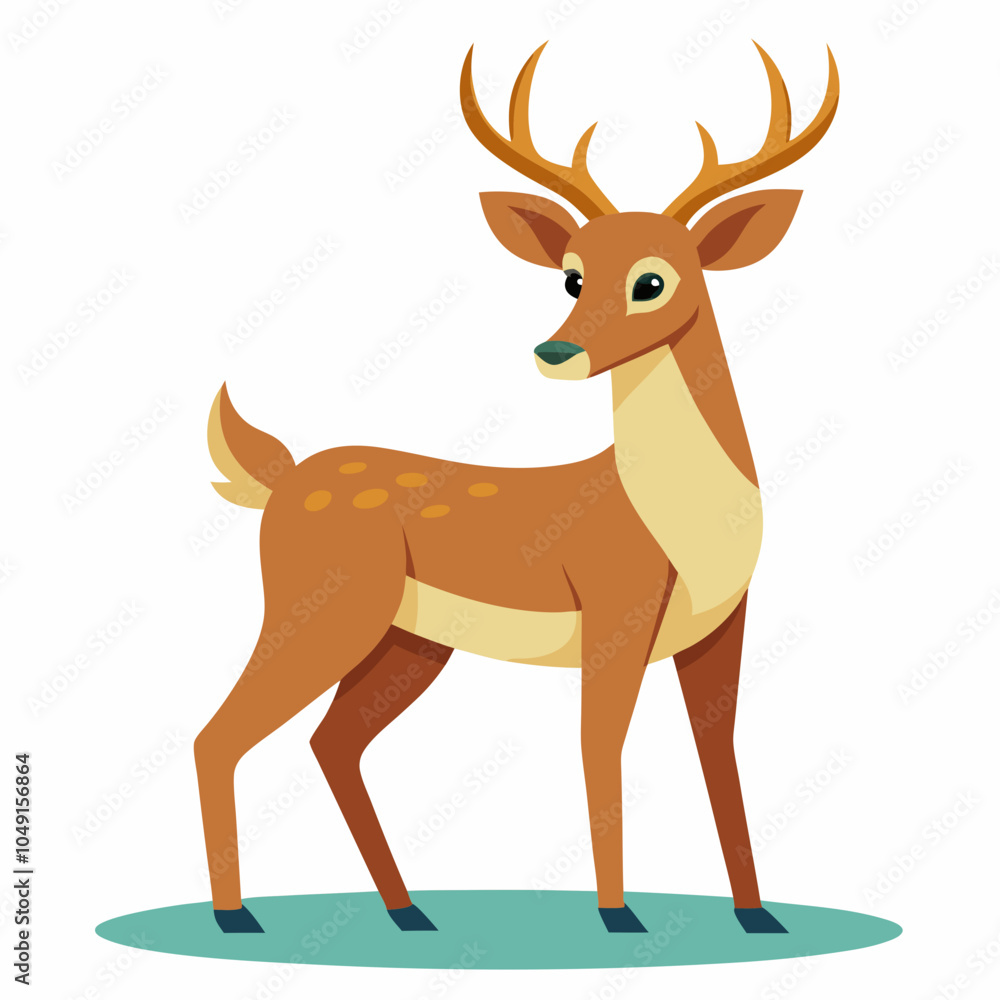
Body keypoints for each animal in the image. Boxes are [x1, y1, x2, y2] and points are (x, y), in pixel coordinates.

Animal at [194, 40, 838, 937]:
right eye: (571, 276)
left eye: (652, 280)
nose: (556, 351)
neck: (686, 520)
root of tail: (283, 480)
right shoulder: (615, 608)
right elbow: (599, 748)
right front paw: (619, 918)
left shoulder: (723, 626)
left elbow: (722, 756)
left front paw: (757, 917)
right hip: (320, 607)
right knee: (219, 736)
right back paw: (236, 917)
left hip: (408, 641)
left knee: (331, 743)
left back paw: (409, 913)